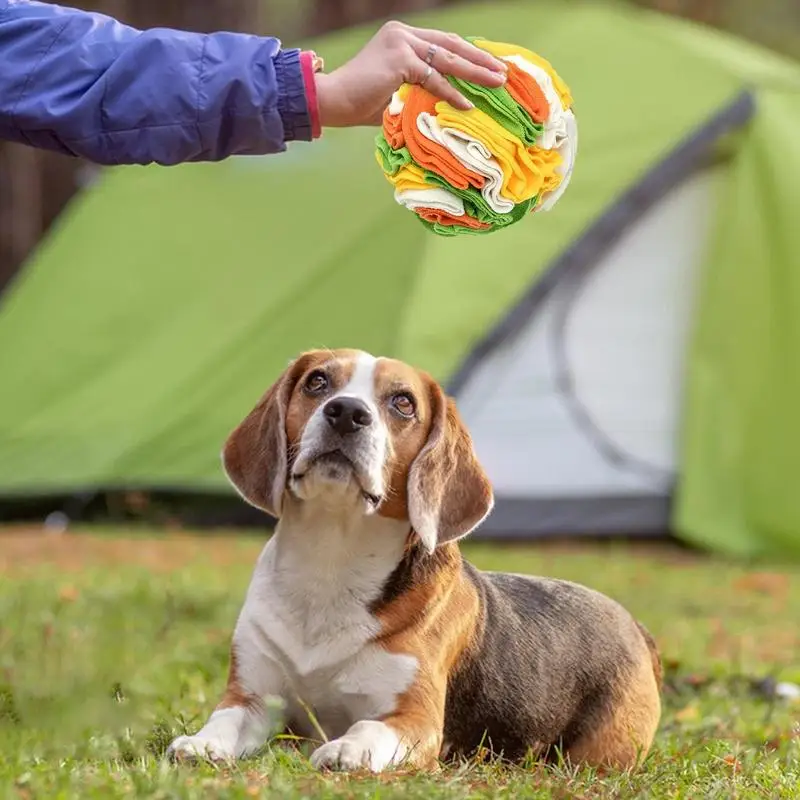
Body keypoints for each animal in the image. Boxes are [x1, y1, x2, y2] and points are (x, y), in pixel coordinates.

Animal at [166, 348, 660, 768]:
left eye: (403, 403)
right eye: (317, 381)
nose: (347, 412)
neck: (331, 560)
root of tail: (633, 623)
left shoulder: (415, 720)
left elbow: (367, 728)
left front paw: (345, 749)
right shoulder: (252, 696)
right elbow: (225, 719)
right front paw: (201, 743)